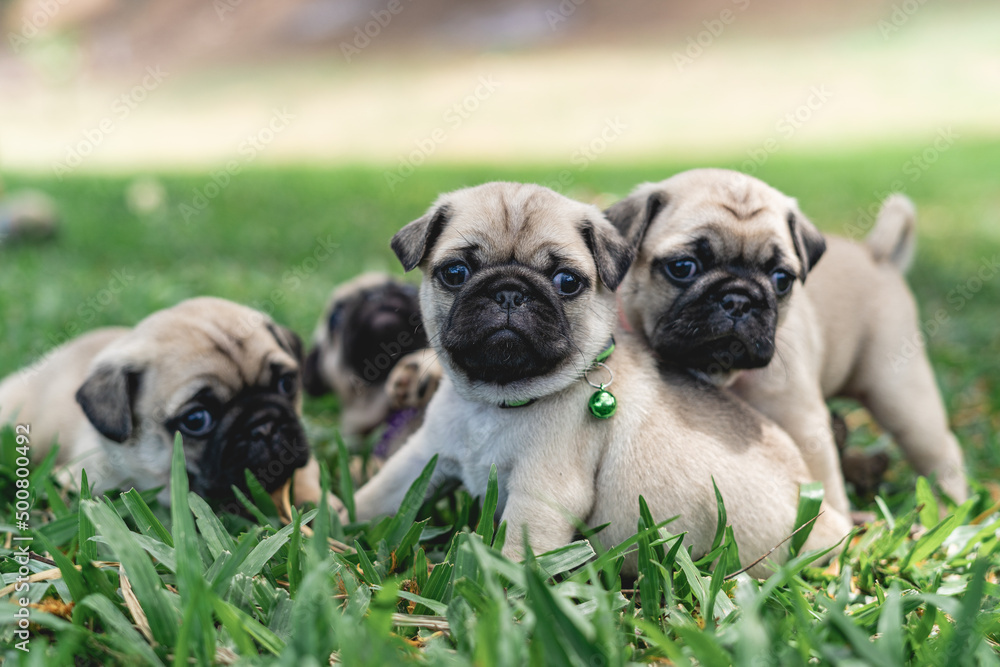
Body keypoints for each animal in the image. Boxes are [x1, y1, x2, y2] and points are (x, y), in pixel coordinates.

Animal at [348, 184, 848, 580]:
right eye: (455, 273)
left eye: (566, 281)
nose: (510, 291)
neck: (495, 401)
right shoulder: (424, 457)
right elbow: (379, 495)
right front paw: (338, 518)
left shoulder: (542, 496)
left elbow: (517, 554)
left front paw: (499, 598)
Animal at [604, 170, 964, 508]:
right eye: (682, 267)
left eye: (781, 279)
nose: (739, 299)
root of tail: (877, 253)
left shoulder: (804, 427)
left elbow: (824, 488)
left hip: (899, 392)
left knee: (940, 450)